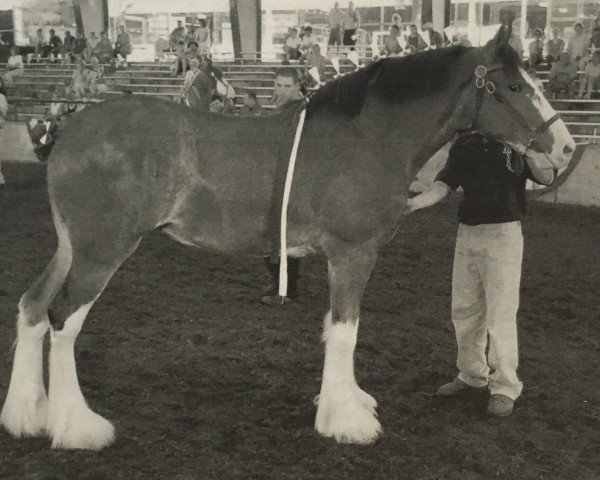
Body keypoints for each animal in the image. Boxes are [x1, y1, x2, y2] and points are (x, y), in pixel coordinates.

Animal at [1, 22, 576, 450]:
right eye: (516, 87)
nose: (567, 147)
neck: (368, 137)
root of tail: (70, 131)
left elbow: (336, 328)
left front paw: (347, 402)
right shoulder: (351, 254)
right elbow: (344, 330)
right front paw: (347, 421)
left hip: (70, 247)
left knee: (33, 306)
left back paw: (26, 415)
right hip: (102, 252)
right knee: (62, 321)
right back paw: (78, 428)